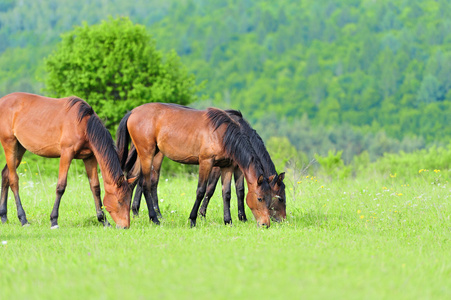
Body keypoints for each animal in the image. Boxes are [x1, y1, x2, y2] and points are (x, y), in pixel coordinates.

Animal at [0, 92, 134, 229]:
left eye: (129, 200)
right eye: (120, 201)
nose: (125, 226)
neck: (83, 125)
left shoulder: (89, 158)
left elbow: (95, 187)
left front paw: (104, 221)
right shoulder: (66, 154)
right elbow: (61, 186)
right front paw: (54, 220)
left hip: (19, 148)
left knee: (5, 174)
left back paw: (4, 217)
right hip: (9, 143)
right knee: (13, 180)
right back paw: (23, 219)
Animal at [116, 103, 274, 227]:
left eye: (271, 197)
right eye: (260, 198)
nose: (266, 224)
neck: (222, 134)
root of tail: (133, 112)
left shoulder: (227, 166)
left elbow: (227, 193)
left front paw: (228, 221)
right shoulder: (206, 162)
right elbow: (202, 190)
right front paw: (193, 219)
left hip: (146, 154)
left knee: (134, 179)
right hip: (147, 155)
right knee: (146, 184)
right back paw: (154, 218)